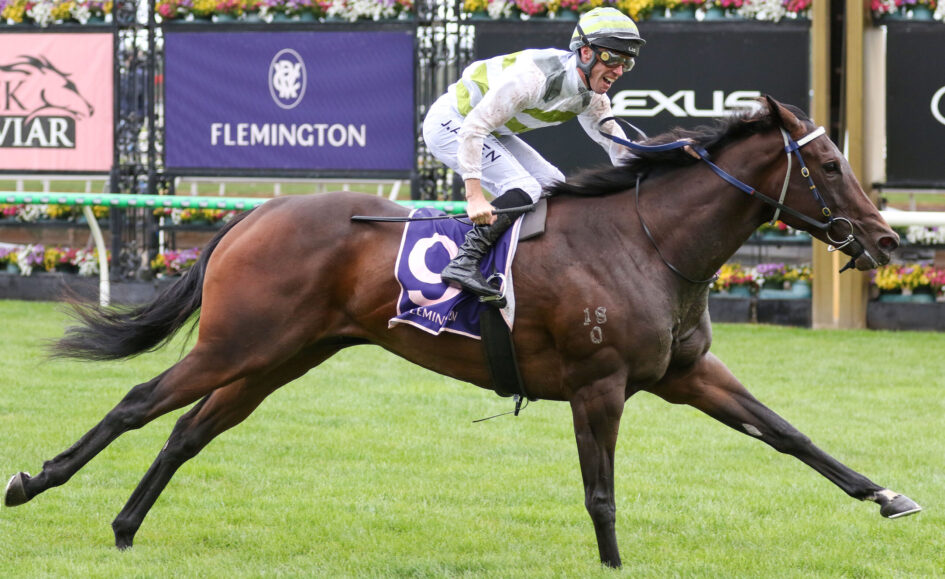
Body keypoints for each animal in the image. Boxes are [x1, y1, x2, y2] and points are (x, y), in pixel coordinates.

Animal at [4, 96, 920, 568]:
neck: (647, 241)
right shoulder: (597, 385)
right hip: (236, 343)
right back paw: (34, 482)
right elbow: (600, 491)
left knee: (188, 431)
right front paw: (614, 562)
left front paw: (887, 495)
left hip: (279, 357)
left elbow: (788, 435)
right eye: (827, 164)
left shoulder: (685, 373)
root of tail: (254, 215)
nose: (886, 241)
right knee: (137, 401)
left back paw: (126, 525)